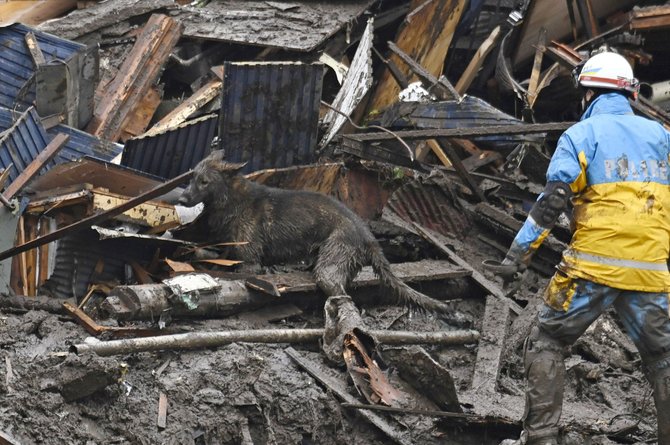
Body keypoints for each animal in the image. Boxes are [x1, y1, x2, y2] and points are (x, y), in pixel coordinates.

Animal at [178, 149, 452, 312]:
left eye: (204, 181)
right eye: (191, 178)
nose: (180, 199)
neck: (231, 199)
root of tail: (367, 236)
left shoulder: (250, 262)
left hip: (329, 268)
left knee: (343, 297)